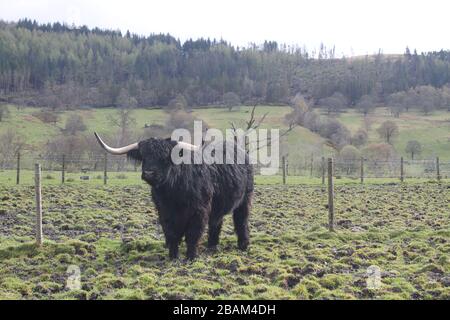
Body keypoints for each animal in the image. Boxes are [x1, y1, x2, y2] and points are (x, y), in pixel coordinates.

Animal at [94, 132, 253, 260]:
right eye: (144, 156)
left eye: (165, 157)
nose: (149, 173)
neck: (172, 192)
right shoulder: (163, 211)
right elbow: (171, 234)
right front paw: (173, 256)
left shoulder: (199, 210)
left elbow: (192, 234)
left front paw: (191, 257)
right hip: (218, 205)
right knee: (216, 222)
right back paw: (212, 246)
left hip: (245, 199)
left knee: (241, 221)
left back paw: (243, 245)